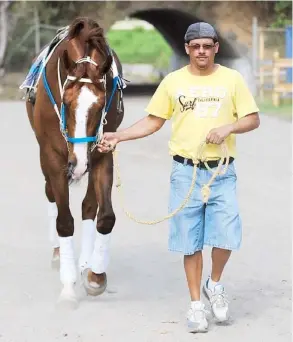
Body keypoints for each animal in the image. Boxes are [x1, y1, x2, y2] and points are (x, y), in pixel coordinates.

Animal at [24, 16, 125, 308]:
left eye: (100, 105)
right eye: (66, 103)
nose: (77, 163)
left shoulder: (103, 150)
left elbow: (104, 216)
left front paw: (95, 276)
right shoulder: (53, 155)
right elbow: (64, 221)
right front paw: (68, 286)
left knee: (89, 206)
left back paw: (85, 263)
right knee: (50, 193)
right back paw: (59, 254)